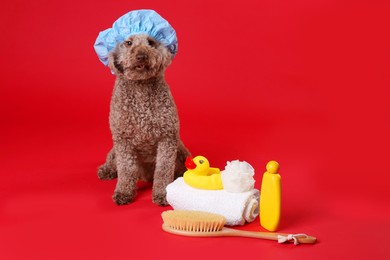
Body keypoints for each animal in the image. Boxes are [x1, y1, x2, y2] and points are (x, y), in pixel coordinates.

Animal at [96, 34, 190, 205]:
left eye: (151, 42)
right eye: (128, 43)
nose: (141, 56)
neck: (140, 86)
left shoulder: (167, 138)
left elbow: (163, 170)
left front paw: (162, 194)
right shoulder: (123, 141)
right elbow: (126, 169)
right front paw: (124, 192)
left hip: (180, 150)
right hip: (115, 149)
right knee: (113, 162)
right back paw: (106, 170)